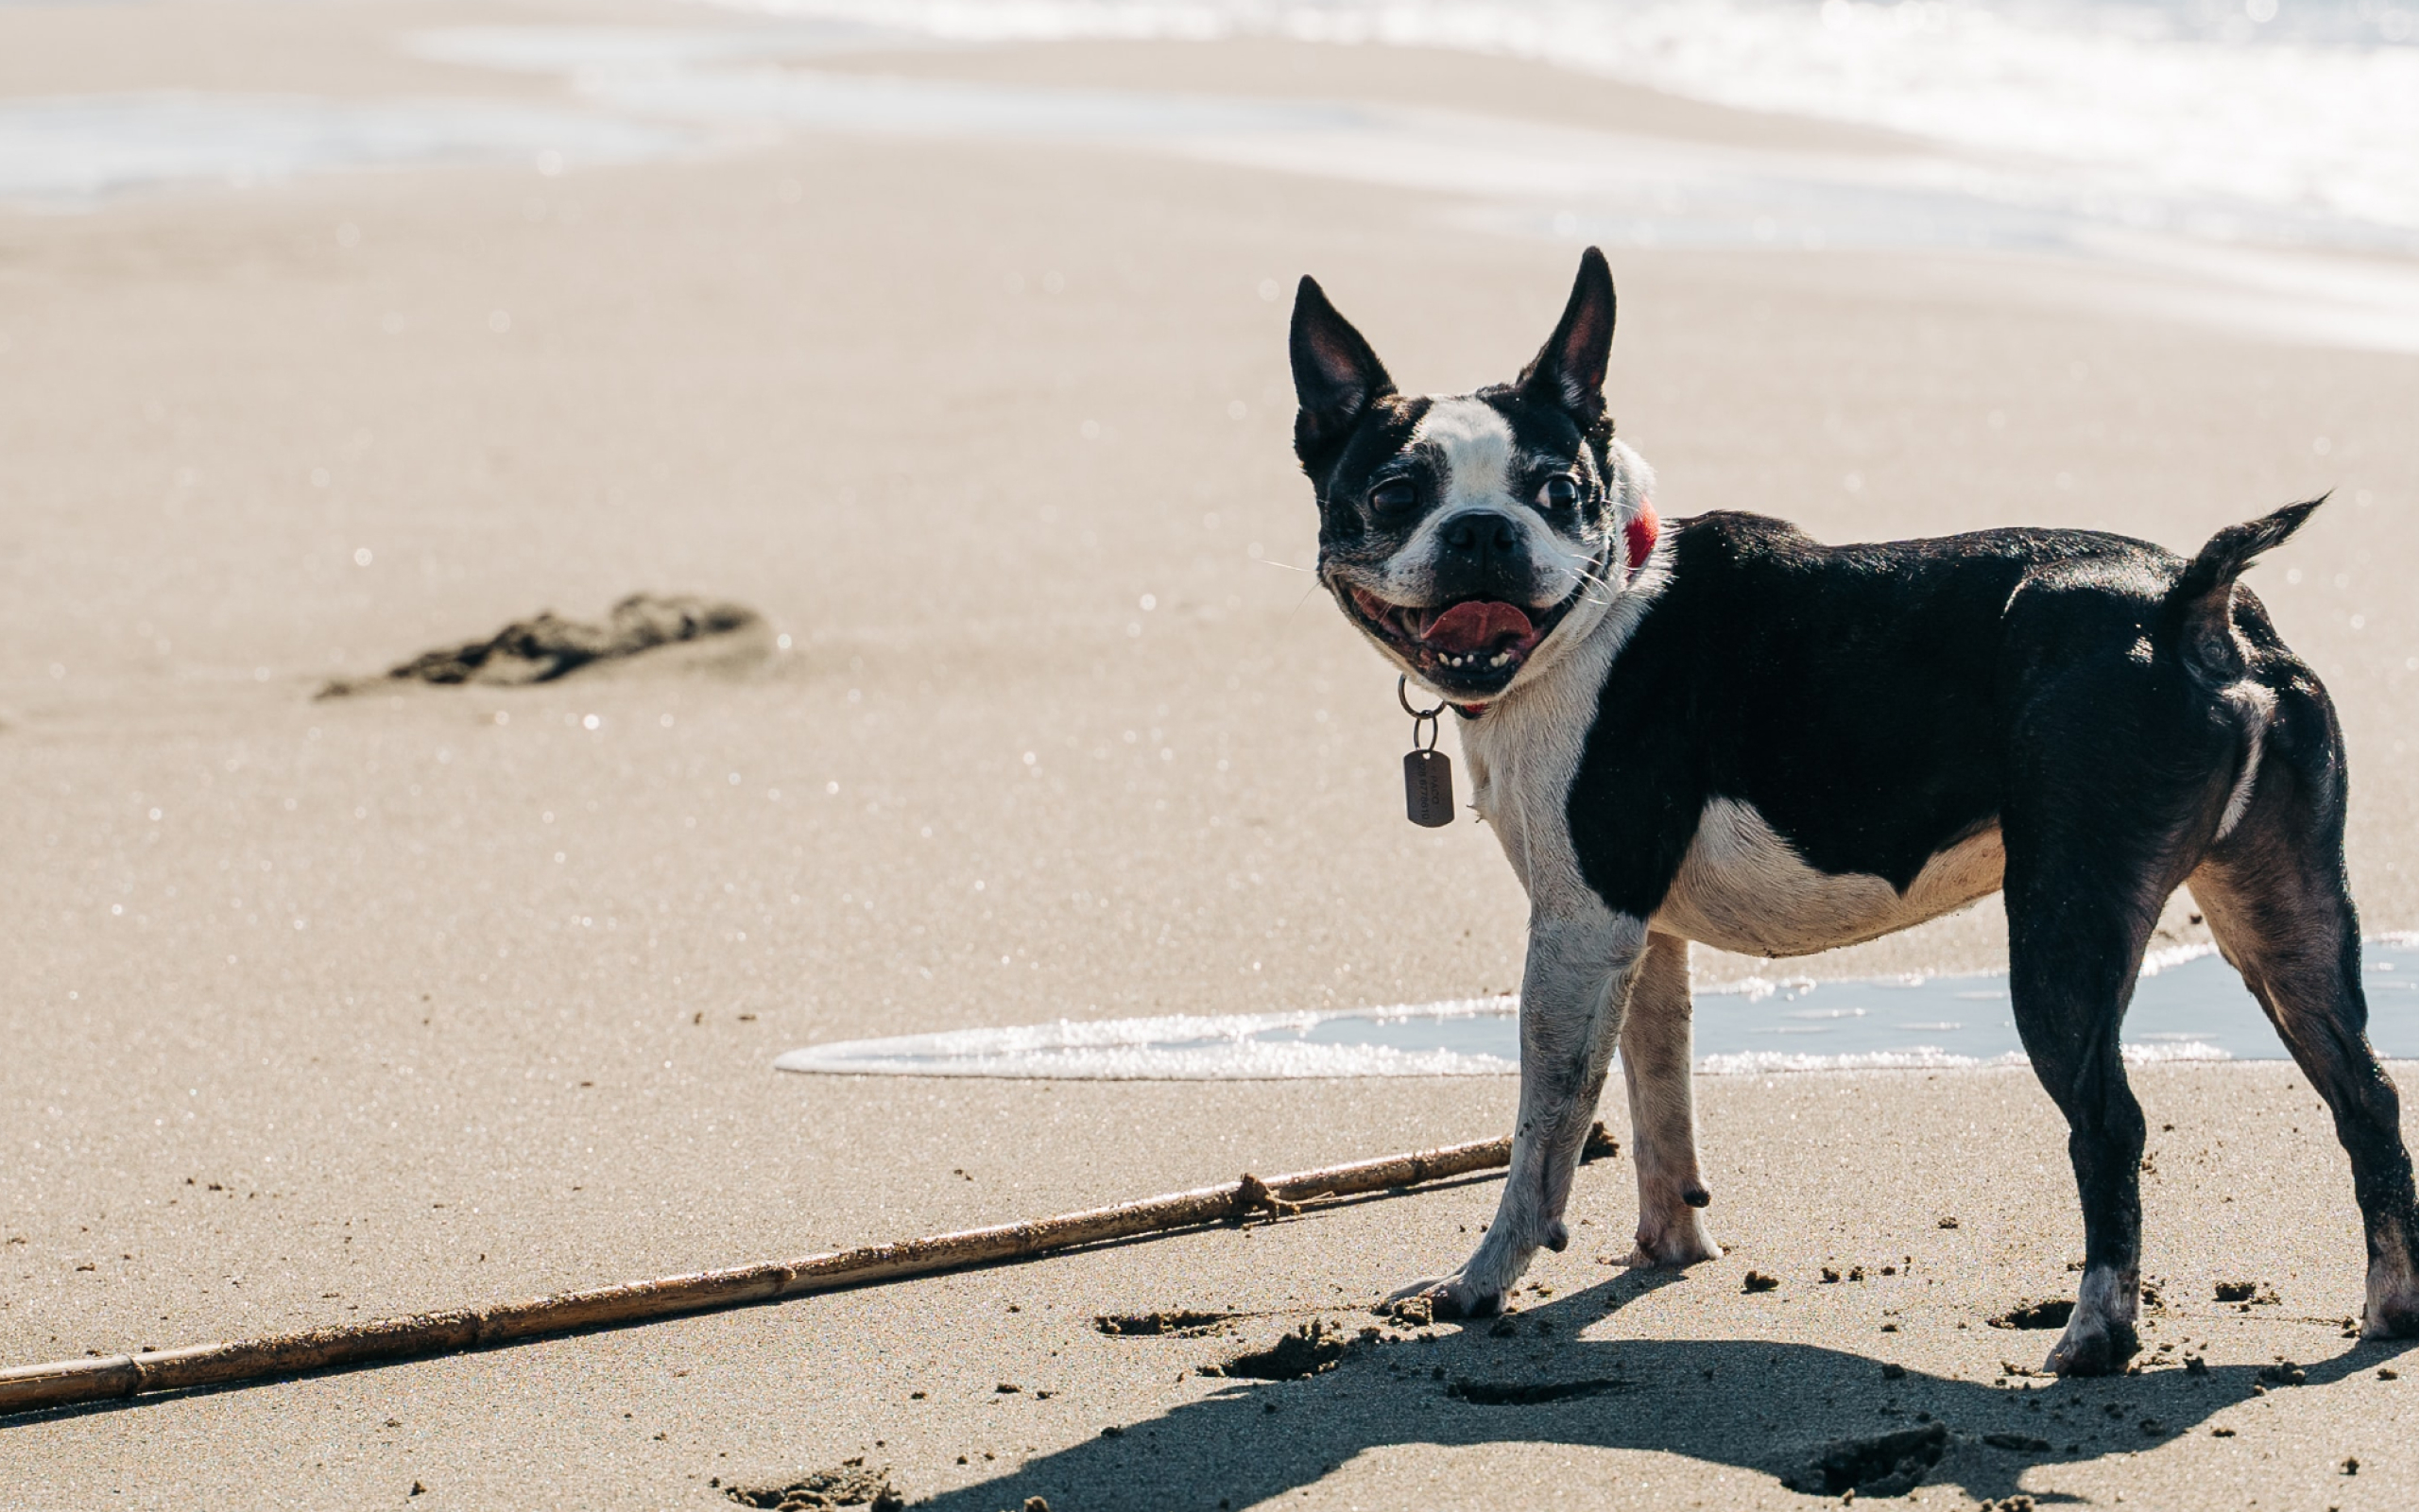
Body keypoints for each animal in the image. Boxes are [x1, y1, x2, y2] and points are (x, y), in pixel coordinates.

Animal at [1296, 244, 2420, 1364]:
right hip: (2285, 913)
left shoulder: (1578, 926)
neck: (1601, 600)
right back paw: (2390, 1309)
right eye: (1393, 494)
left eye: (1558, 490)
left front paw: (1480, 1282)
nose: (1482, 532)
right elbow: (1659, 1092)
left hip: (2064, 923)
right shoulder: (1641, 935)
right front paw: (1669, 1247)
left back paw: (2095, 1333)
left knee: (2111, 1122)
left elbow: (1548, 1124)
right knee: (2364, 1093)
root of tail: (2187, 600)